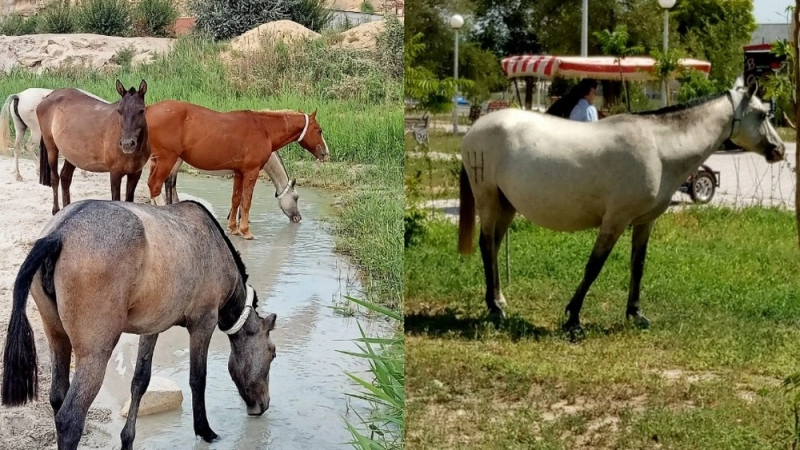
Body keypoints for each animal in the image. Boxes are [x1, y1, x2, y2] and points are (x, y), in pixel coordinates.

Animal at [2, 200, 278, 450]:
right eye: (273, 353)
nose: (263, 405)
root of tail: (58, 234)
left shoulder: (152, 328)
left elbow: (140, 381)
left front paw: (128, 439)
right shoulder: (203, 322)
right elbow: (198, 378)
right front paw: (204, 430)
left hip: (57, 338)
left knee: (58, 396)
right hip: (95, 354)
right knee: (70, 419)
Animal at [36, 80, 152, 214]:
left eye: (141, 110)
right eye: (119, 110)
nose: (127, 144)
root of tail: (49, 96)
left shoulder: (135, 174)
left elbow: (129, 200)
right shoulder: (115, 173)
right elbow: (116, 198)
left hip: (71, 155)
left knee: (65, 178)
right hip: (51, 148)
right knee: (55, 179)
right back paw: (56, 211)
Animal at [146, 99, 328, 239]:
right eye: (319, 130)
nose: (325, 153)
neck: (264, 129)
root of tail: (148, 109)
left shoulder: (239, 173)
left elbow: (236, 199)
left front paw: (233, 228)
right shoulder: (251, 172)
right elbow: (246, 201)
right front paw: (245, 231)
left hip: (159, 161)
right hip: (167, 160)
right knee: (156, 185)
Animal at [460, 77, 784, 334]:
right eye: (760, 114)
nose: (779, 150)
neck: (658, 148)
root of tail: (477, 126)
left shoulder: (644, 222)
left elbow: (637, 265)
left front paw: (636, 314)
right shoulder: (615, 220)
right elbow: (594, 265)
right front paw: (573, 318)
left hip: (506, 204)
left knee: (495, 246)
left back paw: (499, 300)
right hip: (488, 199)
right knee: (487, 245)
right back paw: (494, 308)